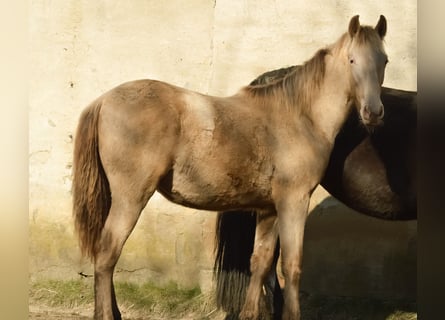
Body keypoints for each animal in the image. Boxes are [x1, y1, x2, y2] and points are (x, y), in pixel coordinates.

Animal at [72, 15, 386, 320]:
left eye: (383, 60)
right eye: (352, 60)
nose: (373, 113)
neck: (300, 116)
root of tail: (103, 101)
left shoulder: (269, 209)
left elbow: (260, 262)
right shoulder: (294, 201)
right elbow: (291, 266)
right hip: (131, 198)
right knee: (107, 255)